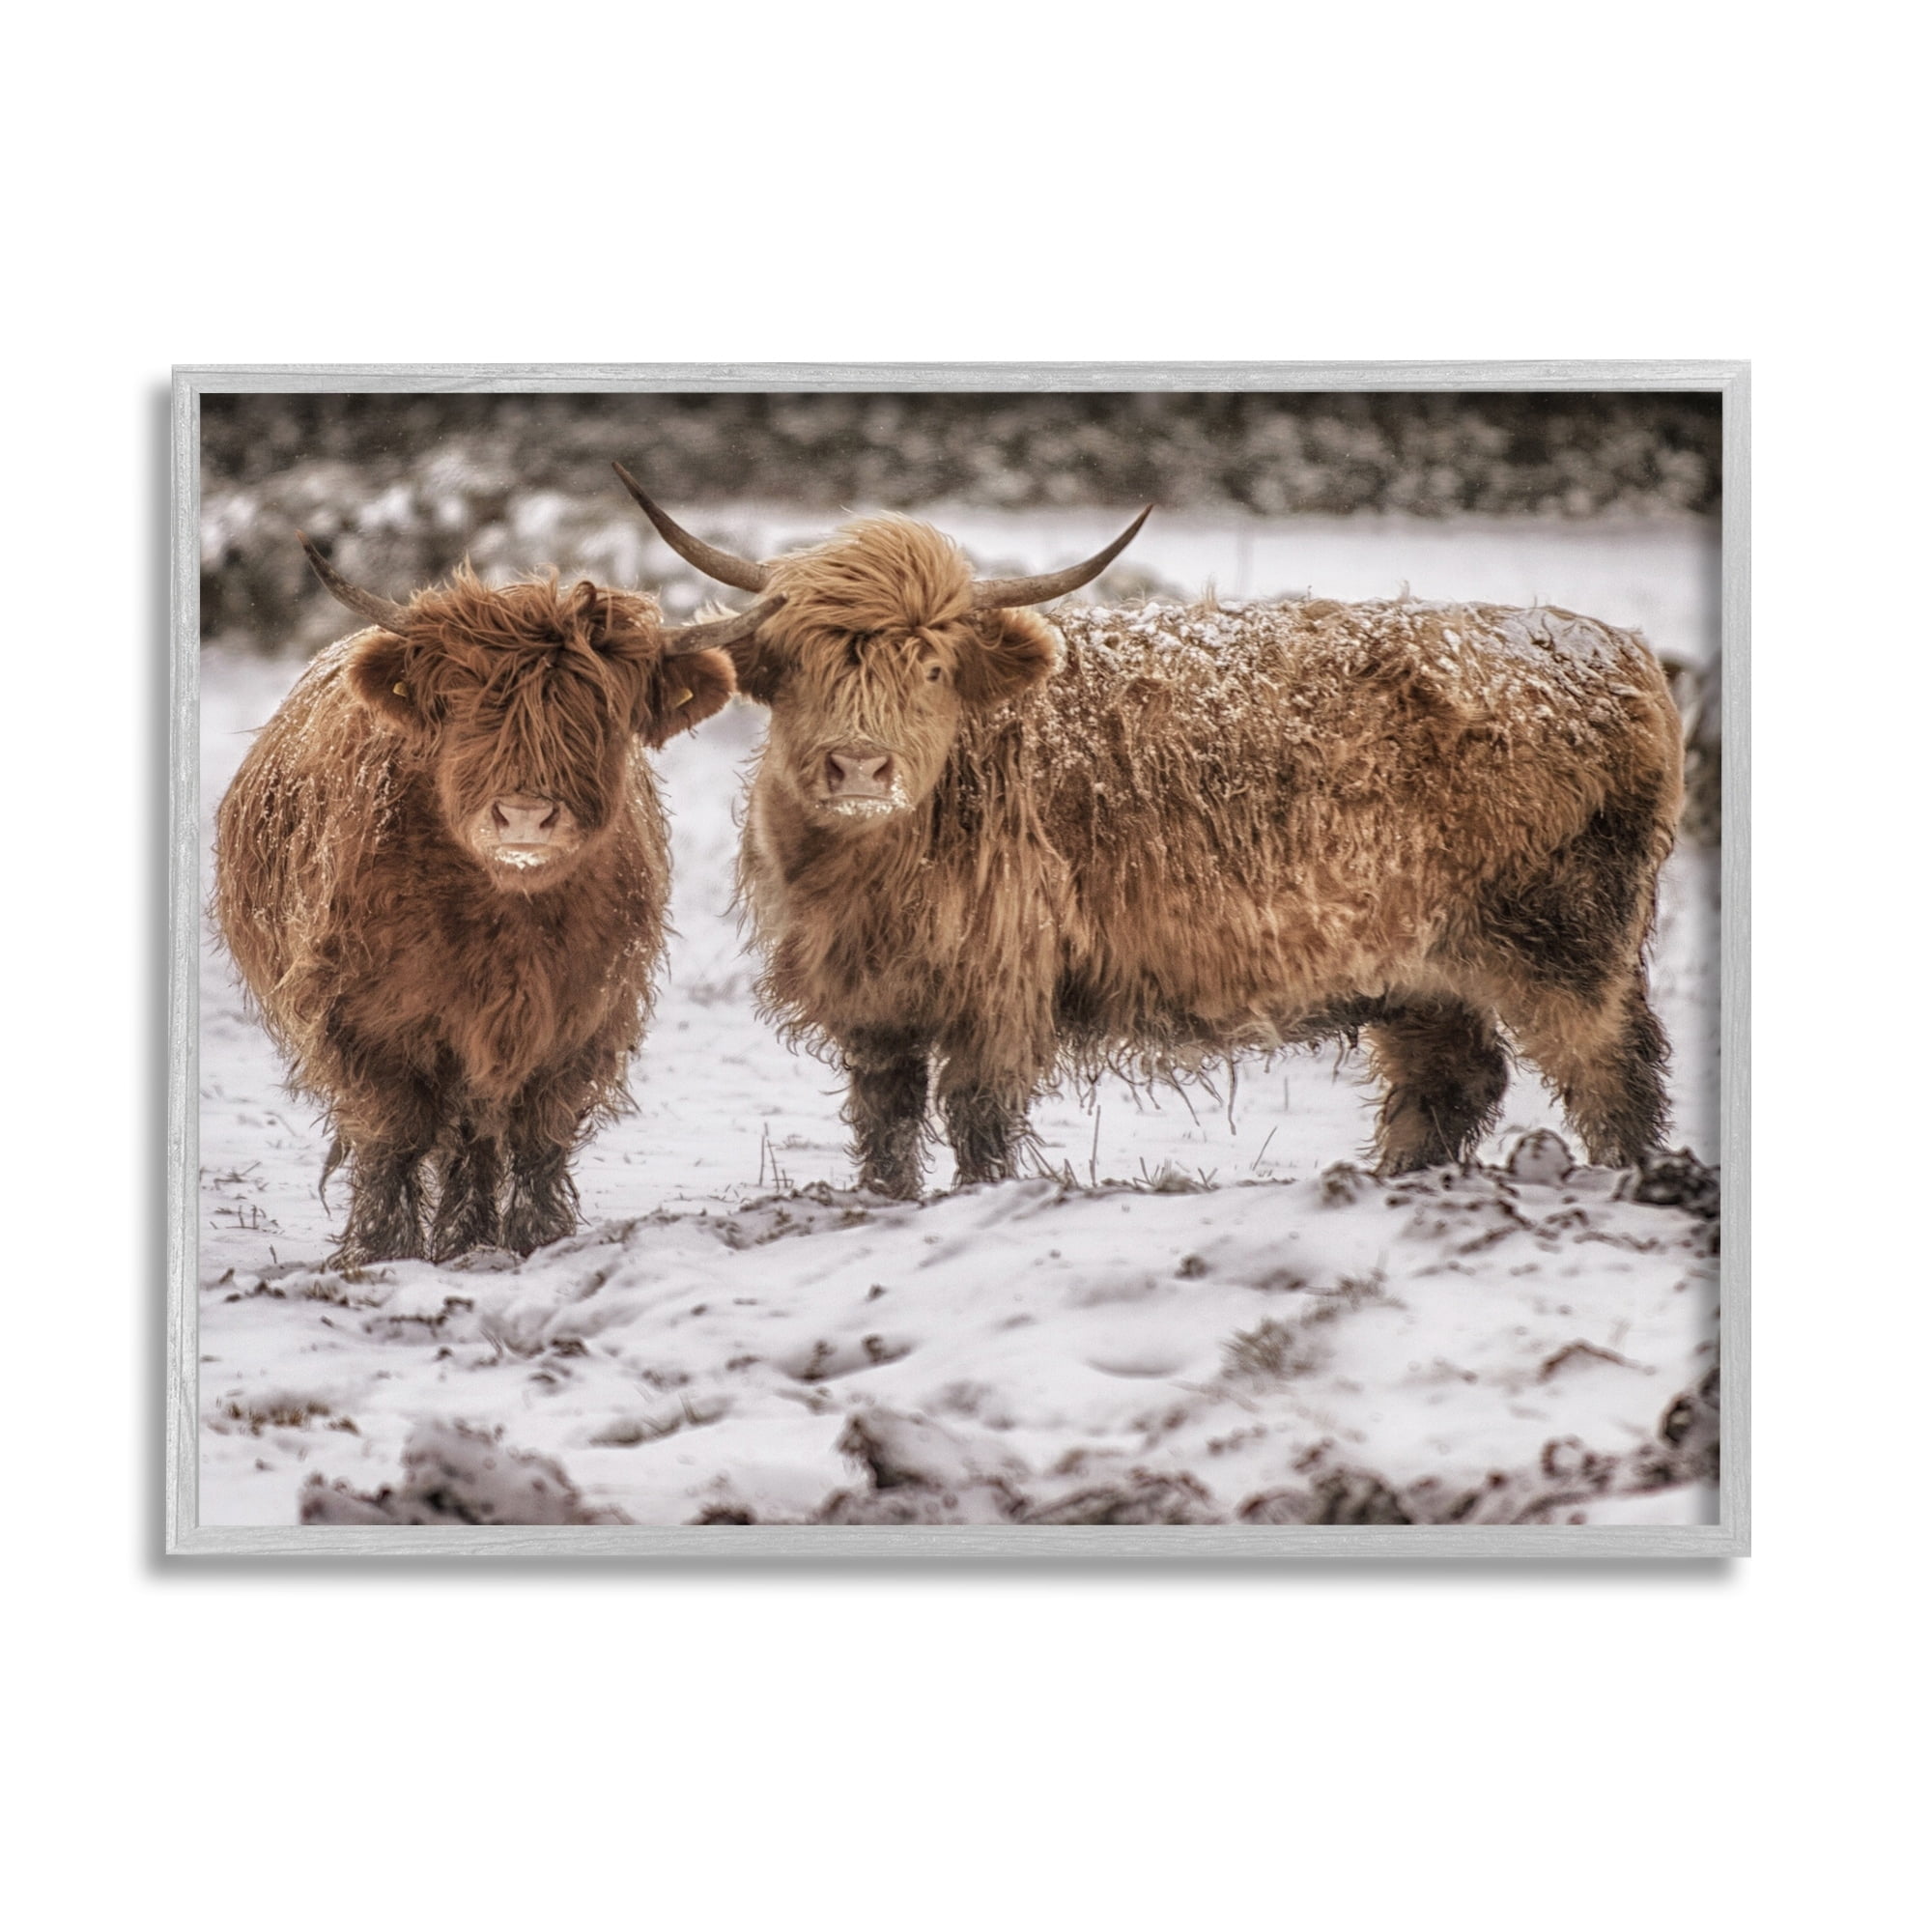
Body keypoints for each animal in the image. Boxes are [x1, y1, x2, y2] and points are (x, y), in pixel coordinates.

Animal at [214, 537, 777, 1263]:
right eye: (464, 710)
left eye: (601, 712)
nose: (525, 817)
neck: (505, 914)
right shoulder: (362, 1016)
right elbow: (392, 1132)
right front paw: (381, 1250)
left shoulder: (585, 1013)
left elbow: (539, 1133)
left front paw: (536, 1237)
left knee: (474, 1132)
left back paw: (470, 1236)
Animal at [613, 465, 1684, 1201]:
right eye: (798, 663)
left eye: (932, 669)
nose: (860, 769)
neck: (868, 876)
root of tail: (1617, 653)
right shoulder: (874, 1000)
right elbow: (884, 1123)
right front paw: (885, 1201)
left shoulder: (999, 984)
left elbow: (978, 1119)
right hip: (1417, 966)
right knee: (1452, 1079)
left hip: (1567, 938)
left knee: (1611, 1071)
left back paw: (1628, 1178)